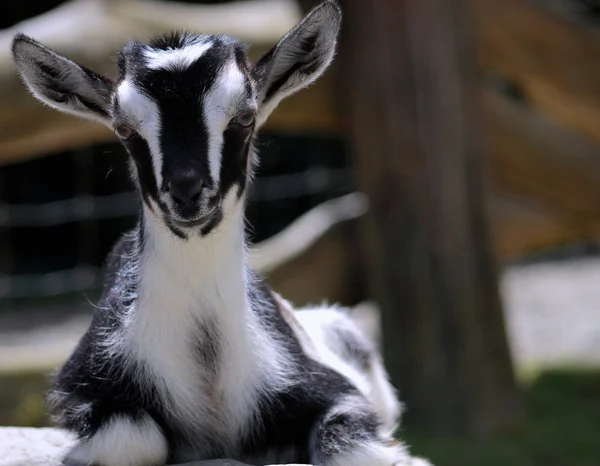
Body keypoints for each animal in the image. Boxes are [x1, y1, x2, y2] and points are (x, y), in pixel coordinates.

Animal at [12, 1, 426, 464]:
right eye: (124, 129)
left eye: (245, 117)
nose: (187, 191)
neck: (206, 358)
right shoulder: (87, 385)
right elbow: (132, 437)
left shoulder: (328, 388)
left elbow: (351, 445)